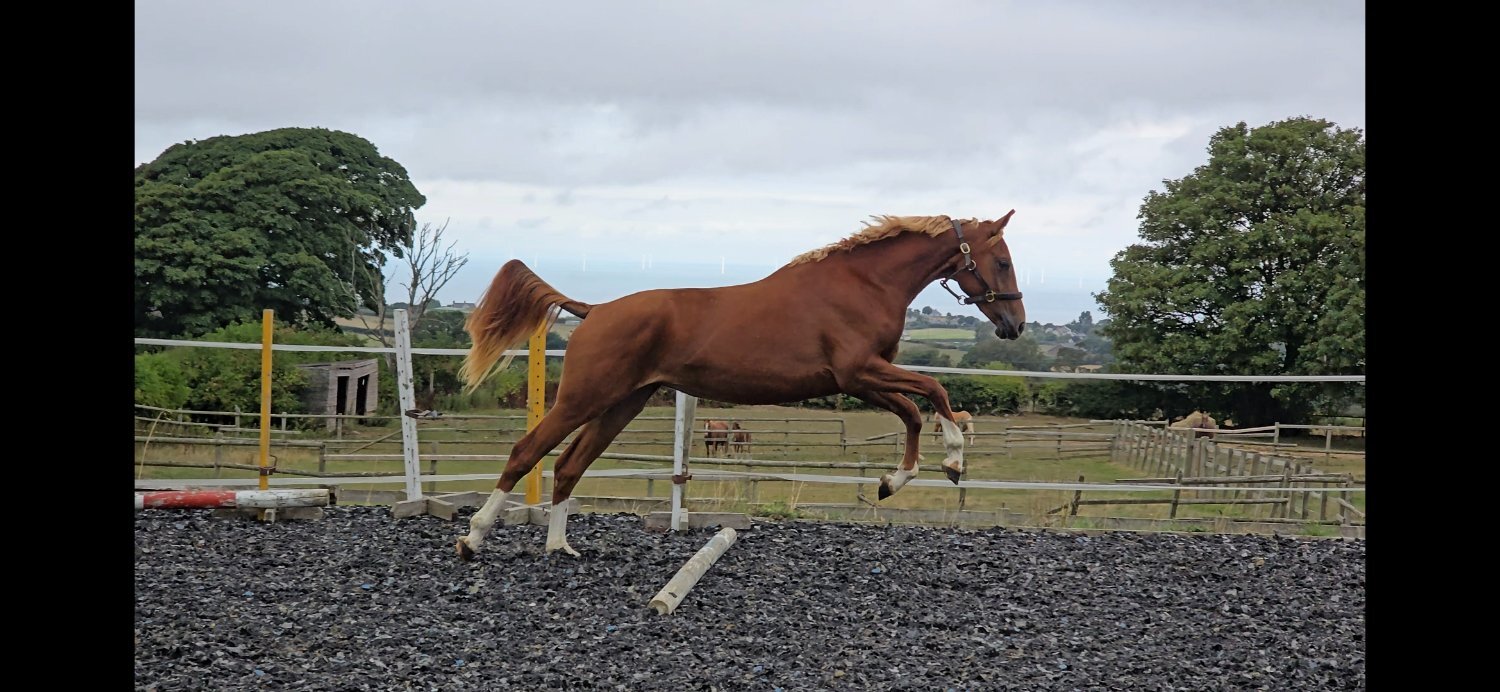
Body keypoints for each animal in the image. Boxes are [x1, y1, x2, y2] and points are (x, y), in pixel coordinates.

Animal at [455, 212, 1025, 559]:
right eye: (1001, 260)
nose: (1015, 325)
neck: (863, 285)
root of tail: (594, 309)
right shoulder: (859, 371)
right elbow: (934, 391)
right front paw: (952, 461)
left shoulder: (861, 379)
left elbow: (911, 410)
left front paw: (893, 481)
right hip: (584, 397)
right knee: (527, 451)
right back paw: (473, 538)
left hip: (623, 403)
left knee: (571, 465)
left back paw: (559, 548)